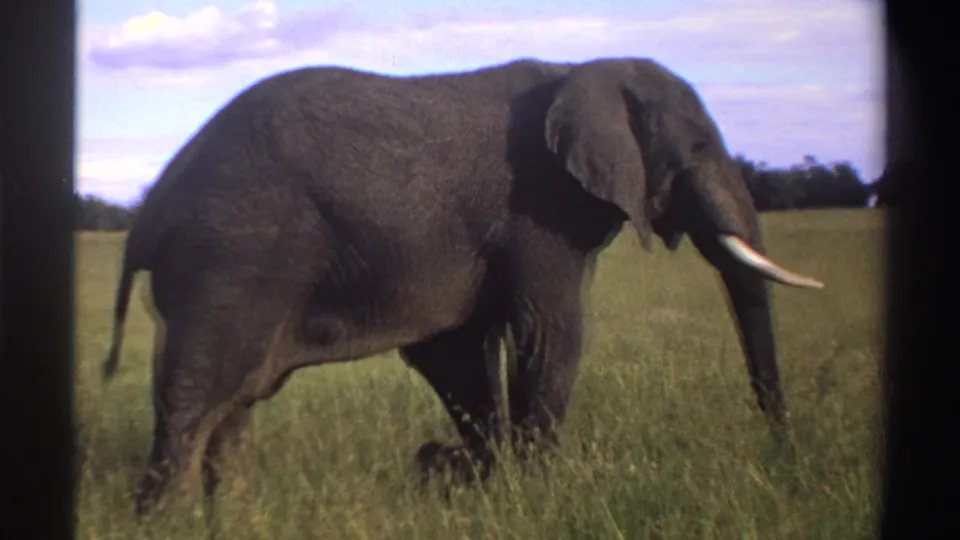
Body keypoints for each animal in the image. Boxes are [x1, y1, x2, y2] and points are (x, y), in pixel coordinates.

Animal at [101, 57, 824, 515]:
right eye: (699, 147)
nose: (782, 452)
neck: (584, 68)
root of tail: (153, 205)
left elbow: (460, 353)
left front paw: (472, 478)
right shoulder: (539, 210)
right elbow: (548, 336)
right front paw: (537, 493)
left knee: (233, 408)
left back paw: (234, 519)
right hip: (229, 258)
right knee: (196, 401)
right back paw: (165, 524)